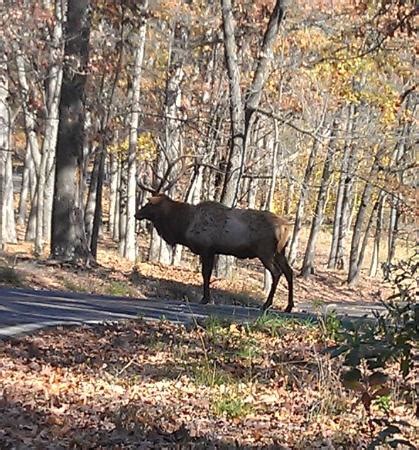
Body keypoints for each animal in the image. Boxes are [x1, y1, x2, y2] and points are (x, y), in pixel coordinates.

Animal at [136, 193, 294, 312]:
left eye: (149, 204)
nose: (136, 214)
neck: (184, 224)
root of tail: (287, 227)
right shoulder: (212, 251)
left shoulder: (206, 249)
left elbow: (205, 274)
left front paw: (205, 299)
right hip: (280, 252)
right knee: (289, 272)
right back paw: (288, 307)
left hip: (265, 251)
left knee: (277, 272)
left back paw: (267, 304)